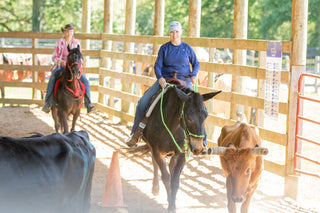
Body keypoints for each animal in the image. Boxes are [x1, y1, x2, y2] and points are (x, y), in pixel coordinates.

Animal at [131, 85, 221, 213]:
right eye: (188, 117)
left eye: (206, 115)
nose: (198, 147)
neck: (172, 126)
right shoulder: (157, 150)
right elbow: (166, 177)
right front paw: (169, 203)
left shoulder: (182, 153)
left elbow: (175, 180)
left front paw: (172, 204)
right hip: (152, 147)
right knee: (155, 164)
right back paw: (155, 188)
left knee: (170, 166)